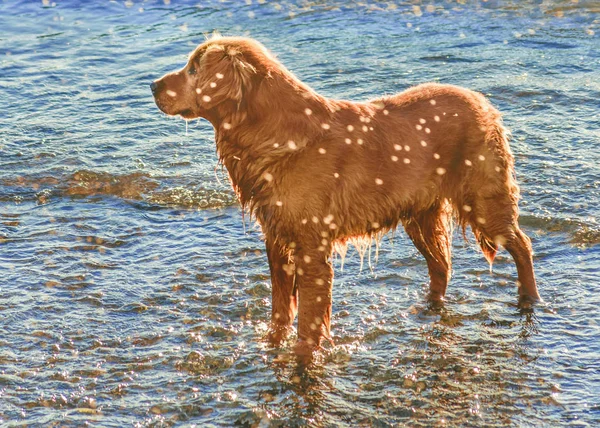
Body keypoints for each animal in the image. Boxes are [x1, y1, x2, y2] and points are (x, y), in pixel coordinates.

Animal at [149, 36, 540, 358]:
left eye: (194, 68)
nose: (152, 84)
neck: (275, 136)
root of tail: (483, 101)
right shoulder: (277, 240)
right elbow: (280, 309)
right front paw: (273, 345)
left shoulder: (311, 248)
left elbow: (308, 319)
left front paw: (303, 355)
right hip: (419, 214)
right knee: (441, 265)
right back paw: (429, 306)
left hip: (484, 200)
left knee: (522, 244)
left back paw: (529, 298)